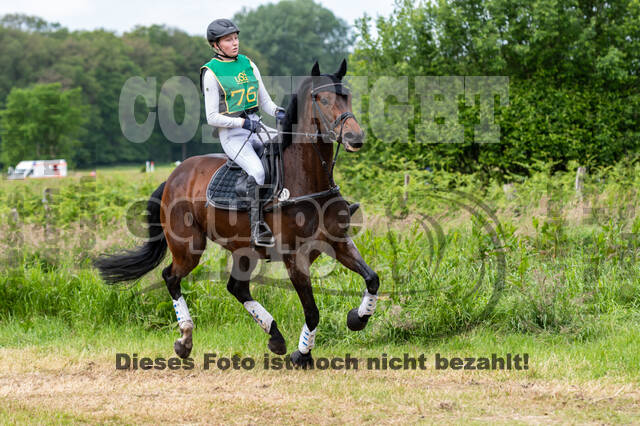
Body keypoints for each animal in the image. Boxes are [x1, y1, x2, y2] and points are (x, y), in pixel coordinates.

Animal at [94, 59, 380, 368]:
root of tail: (173, 177)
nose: (355, 137)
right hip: (189, 247)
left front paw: (356, 319)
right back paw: (185, 339)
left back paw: (275, 337)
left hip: (244, 250)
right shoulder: (295, 257)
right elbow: (312, 310)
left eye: (347, 96)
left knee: (237, 288)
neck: (306, 180)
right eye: (323, 99)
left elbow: (372, 279)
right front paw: (302, 355)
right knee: (171, 277)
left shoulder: (338, 242)